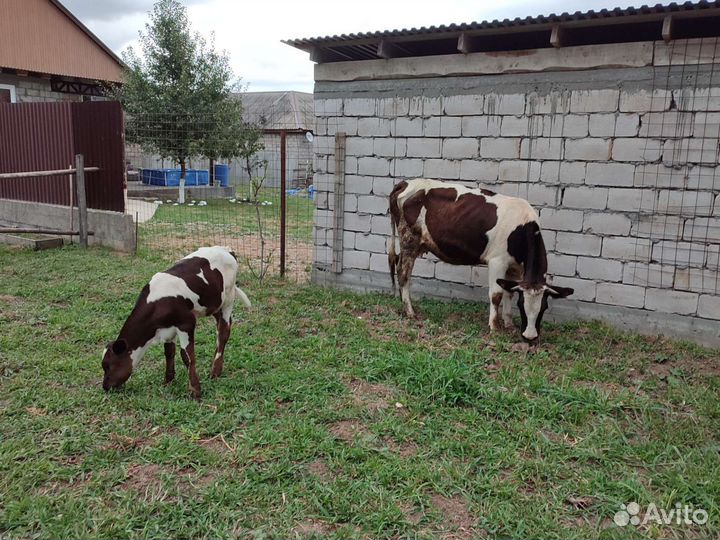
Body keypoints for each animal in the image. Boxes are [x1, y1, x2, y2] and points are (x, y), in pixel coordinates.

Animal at [101, 246, 251, 399]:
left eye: (108, 365)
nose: (105, 386)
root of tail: (226, 249)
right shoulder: (167, 329)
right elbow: (169, 352)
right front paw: (168, 381)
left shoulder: (187, 323)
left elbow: (187, 356)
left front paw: (195, 390)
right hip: (214, 303)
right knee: (219, 326)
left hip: (228, 298)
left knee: (223, 332)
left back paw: (215, 371)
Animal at [388, 179, 573, 344]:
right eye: (522, 305)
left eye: (544, 307)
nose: (530, 337)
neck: (521, 229)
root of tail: (405, 183)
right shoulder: (497, 261)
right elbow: (496, 295)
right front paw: (495, 327)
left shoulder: (515, 268)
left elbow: (509, 292)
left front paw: (509, 324)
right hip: (409, 239)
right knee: (403, 273)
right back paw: (410, 312)